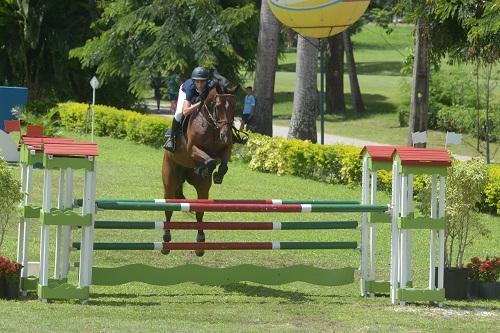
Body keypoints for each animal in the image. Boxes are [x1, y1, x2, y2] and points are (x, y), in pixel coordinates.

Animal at [161, 81, 237, 255]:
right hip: (170, 181)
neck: (211, 124)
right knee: (169, 209)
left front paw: (217, 175)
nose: (225, 135)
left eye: (234, 106)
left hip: (202, 188)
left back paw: (200, 243)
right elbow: (210, 160)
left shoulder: (227, 147)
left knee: (200, 210)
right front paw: (206, 168)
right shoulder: (192, 149)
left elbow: (222, 162)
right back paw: (166, 239)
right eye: (217, 106)